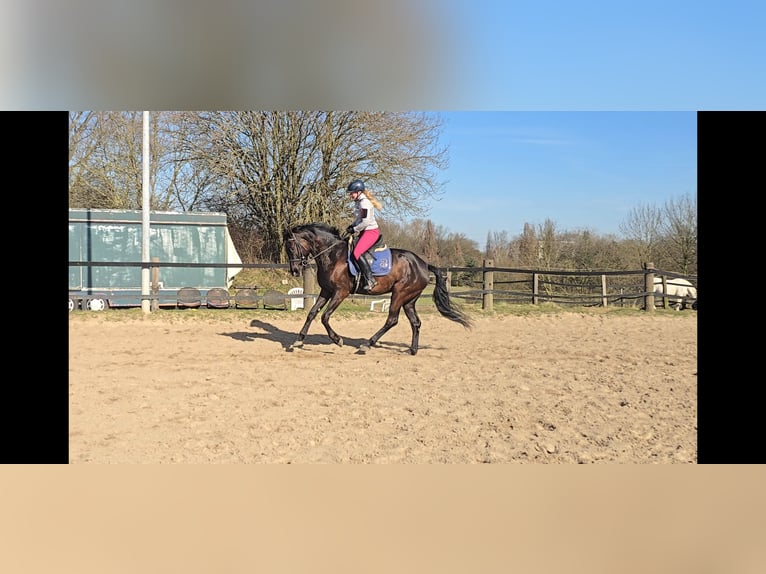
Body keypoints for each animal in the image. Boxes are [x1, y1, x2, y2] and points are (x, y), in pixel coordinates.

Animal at [284, 224, 472, 356]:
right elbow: (312, 313)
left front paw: (338, 340)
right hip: (409, 300)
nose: (295, 271)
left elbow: (325, 316)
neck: (332, 255)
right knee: (415, 322)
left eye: (292, 248)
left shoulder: (340, 292)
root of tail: (423, 264)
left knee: (392, 320)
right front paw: (298, 341)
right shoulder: (326, 291)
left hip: (399, 293)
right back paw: (412, 350)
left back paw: (367, 344)